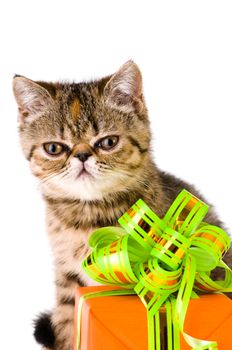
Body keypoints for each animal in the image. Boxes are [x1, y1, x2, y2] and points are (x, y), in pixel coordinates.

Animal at [13, 60, 231, 350]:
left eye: (108, 142)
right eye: (54, 148)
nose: (82, 155)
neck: (88, 215)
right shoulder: (67, 279)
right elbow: (67, 325)